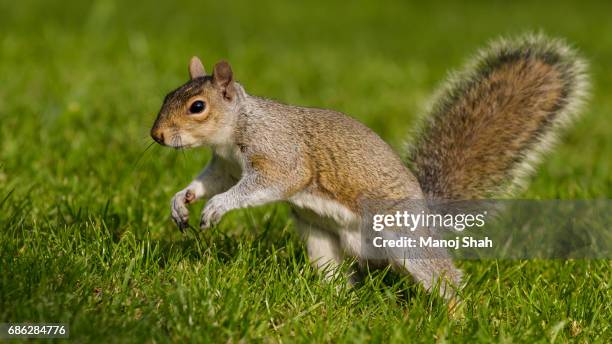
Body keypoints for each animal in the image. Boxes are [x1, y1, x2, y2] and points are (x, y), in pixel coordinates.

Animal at [148, 33, 588, 300]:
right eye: (167, 94)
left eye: (197, 106)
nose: (157, 135)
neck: (237, 124)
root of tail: (428, 211)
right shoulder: (224, 164)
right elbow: (209, 181)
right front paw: (182, 200)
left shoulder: (281, 155)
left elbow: (273, 181)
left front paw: (218, 207)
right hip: (321, 241)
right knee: (336, 271)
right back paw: (335, 299)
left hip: (405, 238)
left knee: (443, 277)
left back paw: (455, 317)